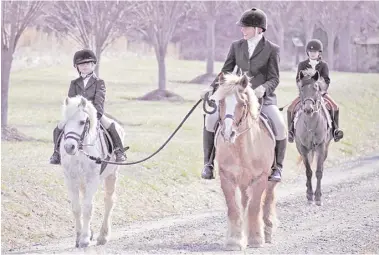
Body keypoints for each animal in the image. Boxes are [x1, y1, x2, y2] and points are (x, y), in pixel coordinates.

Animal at [59, 95, 124, 247]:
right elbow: (77, 207)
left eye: (82, 122)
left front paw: (84, 239)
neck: (80, 151)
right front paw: (79, 236)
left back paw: (103, 236)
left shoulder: (93, 179)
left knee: (108, 201)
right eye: (65, 123)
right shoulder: (70, 179)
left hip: (111, 175)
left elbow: (88, 207)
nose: (69, 147)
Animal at [211, 72, 280, 250]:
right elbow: (233, 207)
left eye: (242, 104)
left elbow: (255, 207)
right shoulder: (227, 177)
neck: (241, 148)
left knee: (268, 199)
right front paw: (235, 240)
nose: (228, 133)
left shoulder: (260, 178)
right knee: (244, 202)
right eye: (221, 102)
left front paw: (256, 239)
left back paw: (267, 231)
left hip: (270, 179)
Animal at [296, 69, 332, 205]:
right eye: (301, 88)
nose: (308, 109)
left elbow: (318, 171)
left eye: (315, 88)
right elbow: (308, 171)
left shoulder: (321, 147)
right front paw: (310, 194)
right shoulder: (303, 148)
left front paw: (317, 197)